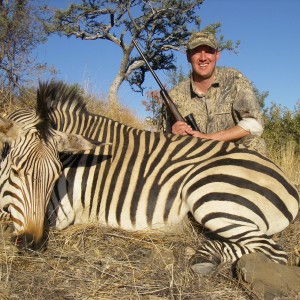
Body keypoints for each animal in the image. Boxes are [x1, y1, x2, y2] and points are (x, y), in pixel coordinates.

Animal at [0, 81, 298, 274]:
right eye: (16, 170)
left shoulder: (59, 211)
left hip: (208, 194)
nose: (32, 244)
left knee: (274, 251)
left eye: (55, 176)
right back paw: (204, 256)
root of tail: (289, 186)